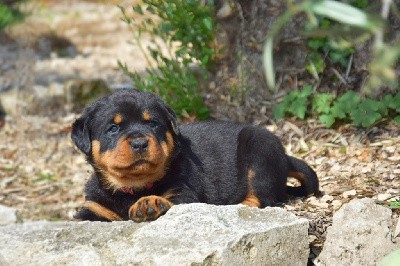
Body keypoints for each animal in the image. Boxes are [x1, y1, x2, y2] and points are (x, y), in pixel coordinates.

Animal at [70, 89, 318, 222]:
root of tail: (284, 156)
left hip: (260, 149)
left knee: (261, 197)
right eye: (113, 128)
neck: (133, 187)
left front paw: (148, 202)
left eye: (153, 123)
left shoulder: (185, 193)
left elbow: (172, 200)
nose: (140, 142)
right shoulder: (94, 208)